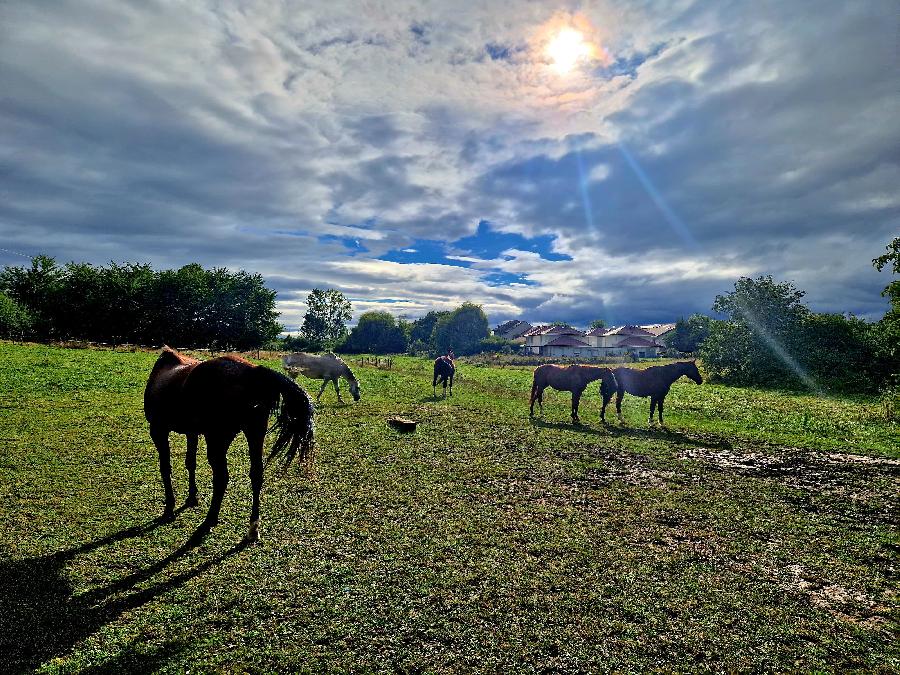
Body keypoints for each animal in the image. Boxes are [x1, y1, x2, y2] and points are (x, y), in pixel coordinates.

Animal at [145, 348, 316, 544]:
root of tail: (253, 372)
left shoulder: (158, 430)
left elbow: (166, 468)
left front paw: (169, 508)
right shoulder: (191, 432)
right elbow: (190, 463)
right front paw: (192, 497)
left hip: (217, 439)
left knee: (221, 477)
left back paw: (210, 519)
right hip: (255, 433)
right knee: (257, 474)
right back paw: (253, 527)